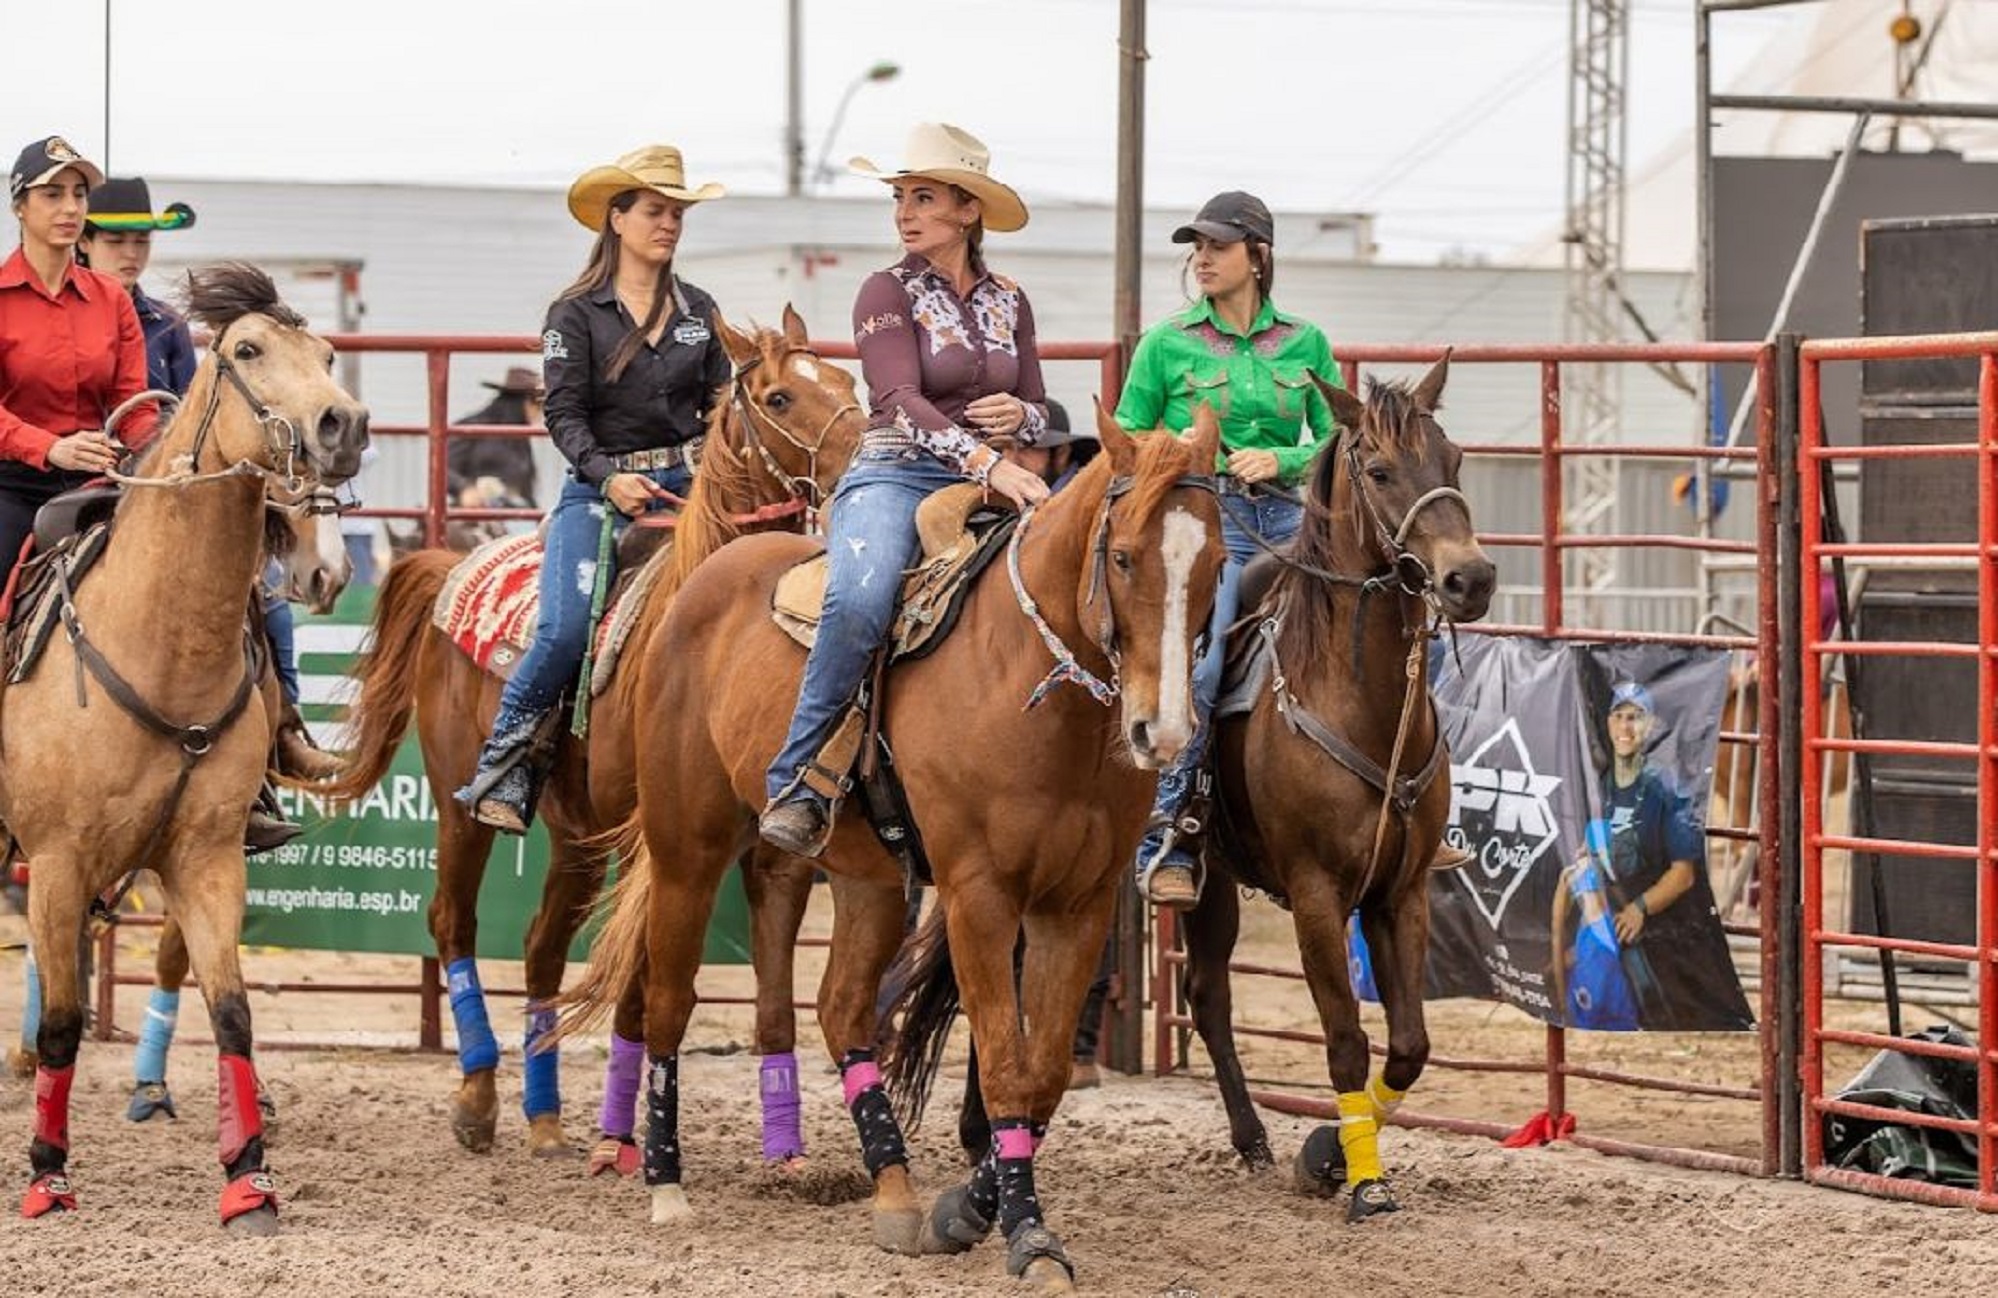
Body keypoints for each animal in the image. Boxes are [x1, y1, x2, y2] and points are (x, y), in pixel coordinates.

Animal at [0, 265, 371, 1230]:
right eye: (247, 349)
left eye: (327, 355)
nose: (343, 425)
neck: (160, 643)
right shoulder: (58, 862)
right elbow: (63, 1021)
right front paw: (47, 1176)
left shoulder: (206, 857)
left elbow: (233, 1011)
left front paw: (250, 1179)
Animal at [323, 305, 863, 1166]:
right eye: (780, 397)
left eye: (847, 380)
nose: (878, 448)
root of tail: (449, 564)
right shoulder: (660, 846)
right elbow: (643, 985)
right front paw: (626, 1141)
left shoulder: (775, 856)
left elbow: (775, 1001)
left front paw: (786, 1151)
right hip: (460, 806)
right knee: (454, 923)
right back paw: (478, 1099)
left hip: (576, 836)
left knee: (542, 946)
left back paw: (546, 1118)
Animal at [555, 403, 1222, 1286]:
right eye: (1122, 556)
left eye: (1217, 563)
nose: (1165, 731)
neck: (1030, 687)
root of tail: (695, 583)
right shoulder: (979, 899)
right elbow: (1004, 1064)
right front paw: (1029, 1237)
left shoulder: (1074, 907)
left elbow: (1042, 1075)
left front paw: (965, 1212)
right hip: (684, 848)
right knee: (667, 998)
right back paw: (666, 1186)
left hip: (867, 879)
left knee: (841, 1009)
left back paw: (897, 1194)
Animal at [1174, 359, 1494, 1222]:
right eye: (1379, 471)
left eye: (1454, 461)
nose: (1471, 578)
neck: (1360, 698)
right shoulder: (1318, 895)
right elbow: (1347, 1038)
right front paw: (1366, 1183)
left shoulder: (1401, 891)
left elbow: (1410, 1047)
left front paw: (1326, 1150)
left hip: (1214, 878)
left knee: (1207, 994)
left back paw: (1254, 1139)